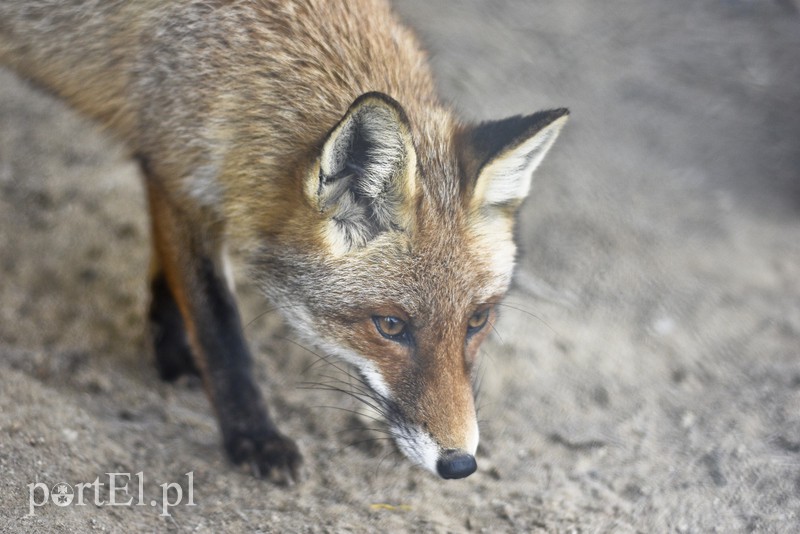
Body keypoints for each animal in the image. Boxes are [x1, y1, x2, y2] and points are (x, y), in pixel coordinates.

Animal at [0, 0, 568, 486]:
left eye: (478, 320)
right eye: (389, 326)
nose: (459, 464)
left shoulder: (172, 164)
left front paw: (171, 348)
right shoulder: (179, 175)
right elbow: (220, 327)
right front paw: (254, 437)